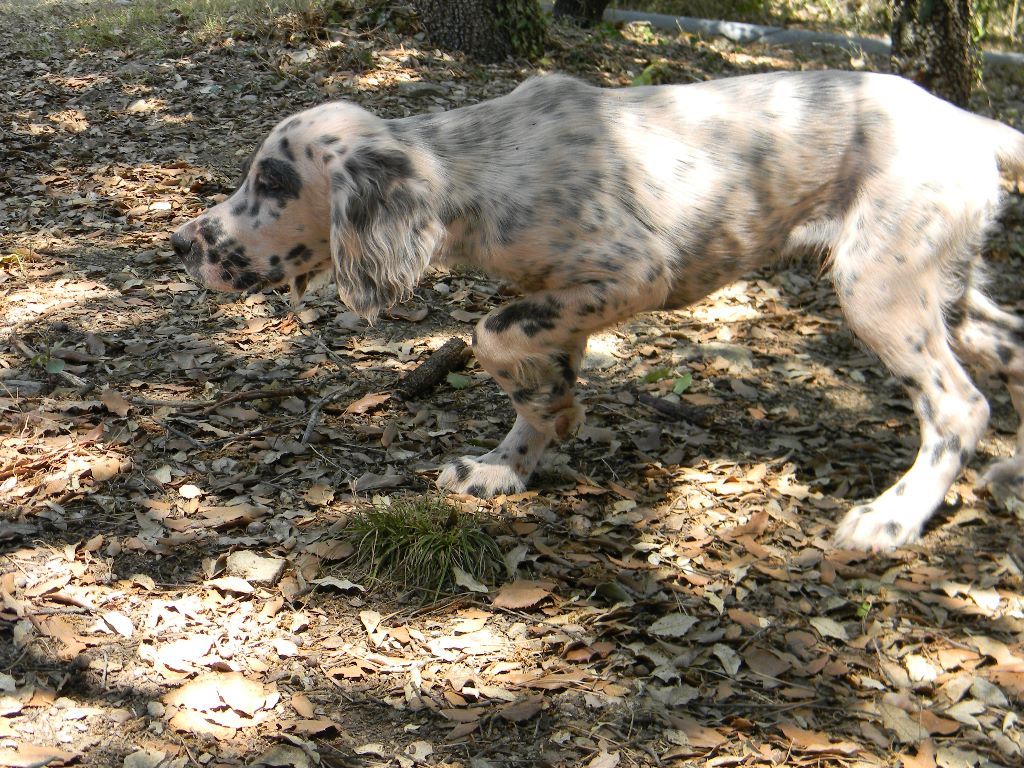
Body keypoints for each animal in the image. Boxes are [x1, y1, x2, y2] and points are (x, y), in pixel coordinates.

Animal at [172, 72, 1024, 552]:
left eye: (274, 181)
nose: (182, 243)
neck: (486, 163)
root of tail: (966, 121)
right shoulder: (564, 298)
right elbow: (531, 371)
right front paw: (510, 460)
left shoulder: (634, 272)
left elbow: (489, 333)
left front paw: (547, 415)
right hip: (947, 292)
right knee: (1007, 347)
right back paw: (1010, 476)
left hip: (879, 285)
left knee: (959, 406)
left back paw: (893, 518)